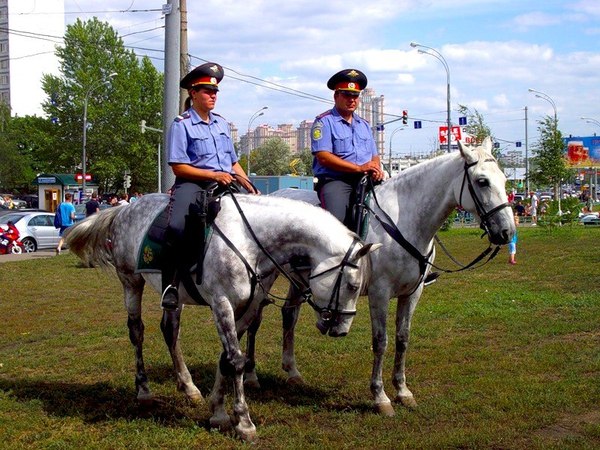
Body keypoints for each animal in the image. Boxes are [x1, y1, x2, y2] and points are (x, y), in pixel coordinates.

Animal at [65, 192, 380, 440]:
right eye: (353, 286)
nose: (341, 329)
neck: (248, 242)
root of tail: (124, 209)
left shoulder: (246, 307)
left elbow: (226, 359)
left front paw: (217, 411)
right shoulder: (222, 304)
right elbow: (237, 362)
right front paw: (244, 422)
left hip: (174, 297)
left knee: (170, 330)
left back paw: (188, 387)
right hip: (131, 281)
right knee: (136, 331)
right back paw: (144, 389)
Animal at [244, 137, 516, 414]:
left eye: (505, 179)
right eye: (482, 181)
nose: (506, 232)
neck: (403, 222)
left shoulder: (413, 293)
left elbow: (402, 338)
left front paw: (403, 391)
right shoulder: (380, 293)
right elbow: (381, 341)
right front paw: (380, 397)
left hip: (299, 281)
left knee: (289, 315)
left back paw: (292, 372)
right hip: (266, 278)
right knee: (255, 320)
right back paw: (252, 376)